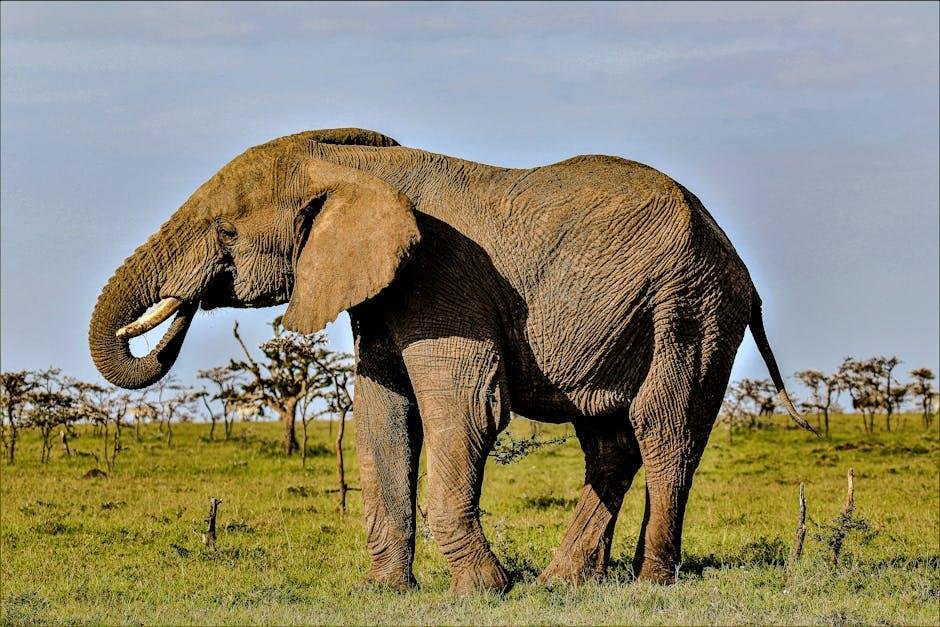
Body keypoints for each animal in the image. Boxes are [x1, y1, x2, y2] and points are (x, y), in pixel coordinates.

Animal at [89, 127, 812, 594]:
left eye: (227, 232)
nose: (186, 304)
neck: (350, 166)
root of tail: (738, 264)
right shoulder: (387, 291)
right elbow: (381, 416)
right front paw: (384, 592)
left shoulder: (441, 278)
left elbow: (463, 409)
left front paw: (485, 590)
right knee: (610, 442)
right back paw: (560, 583)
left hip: (690, 307)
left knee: (664, 434)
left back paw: (648, 584)